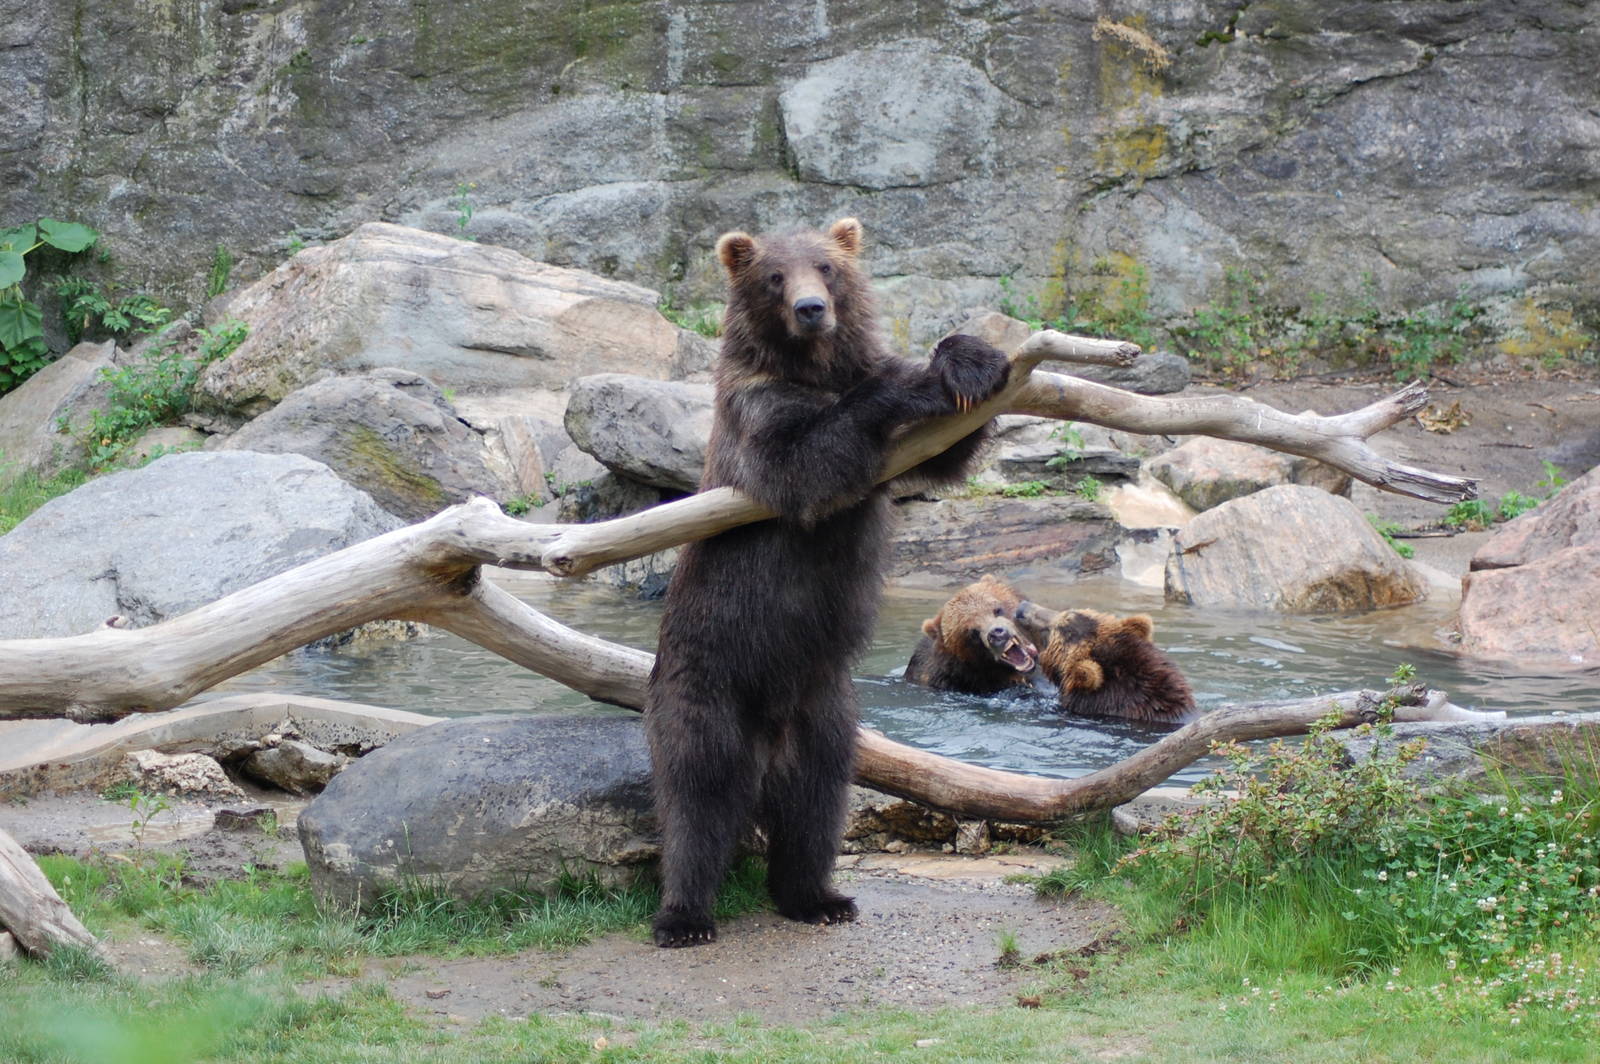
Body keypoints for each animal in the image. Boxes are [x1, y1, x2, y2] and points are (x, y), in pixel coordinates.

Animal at [645, 217, 1011, 947]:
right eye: (774, 277)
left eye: (827, 267)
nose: (812, 309)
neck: (812, 366)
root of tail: (768, 739)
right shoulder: (757, 414)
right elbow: (808, 463)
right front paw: (914, 379)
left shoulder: (898, 452)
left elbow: (945, 450)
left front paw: (971, 359)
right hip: (707, 683)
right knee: (699, 796)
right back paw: (685, 916)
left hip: (826, 713)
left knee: (817, 805)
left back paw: (816, 896)